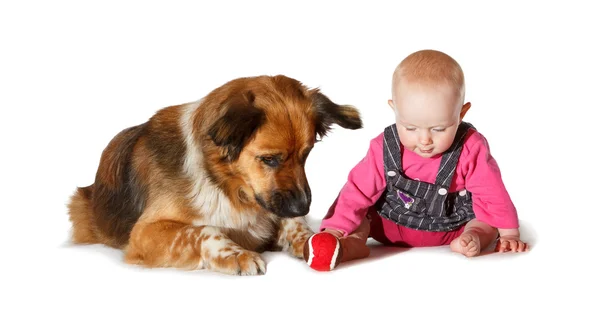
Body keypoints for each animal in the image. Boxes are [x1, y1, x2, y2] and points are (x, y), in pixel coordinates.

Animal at [68, 75, 364, 276]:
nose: (303, 206)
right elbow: (203, 230)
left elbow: (294, 224)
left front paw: (311, 239)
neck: (227, 185)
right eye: (269, 159)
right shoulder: (144, 232)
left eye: (307, 154)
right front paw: (235, 253)